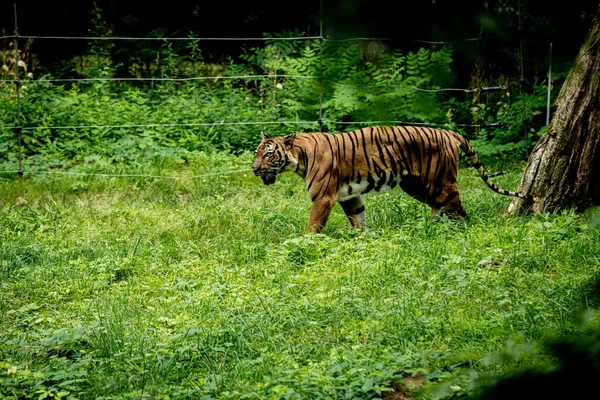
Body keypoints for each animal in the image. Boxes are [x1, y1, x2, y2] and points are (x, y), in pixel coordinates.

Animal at [251, 126, 532, 234]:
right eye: (256, 152)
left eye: (268, 154)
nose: (253, 169)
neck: (298, 159)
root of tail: (448, 131)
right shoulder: (350, 196)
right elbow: (359, 220)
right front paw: (364, 238)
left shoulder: (323, 198)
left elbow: (312, 227)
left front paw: (304, 243)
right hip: (416, 185)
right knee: (439, 208)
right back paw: (430, 229)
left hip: (441, 183)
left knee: (460, 213)